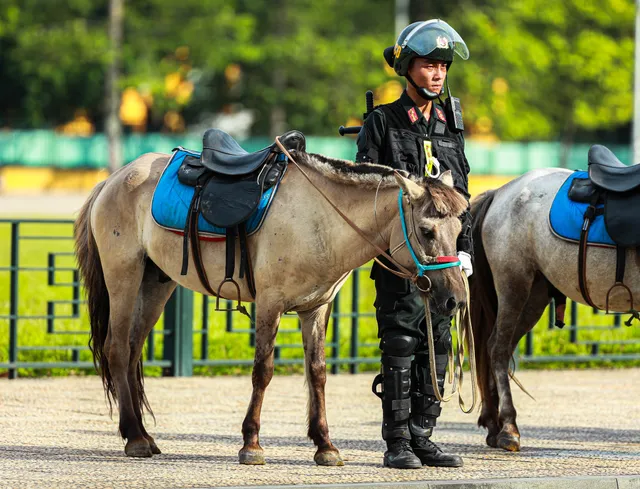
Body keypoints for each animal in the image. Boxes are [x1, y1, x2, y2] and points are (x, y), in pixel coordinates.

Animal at [75, 150, 468, 466]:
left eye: (459, 227)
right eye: (427, 231)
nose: (456, 299)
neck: (320, 219)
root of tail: (113, 179)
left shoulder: (316, 309)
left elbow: (317, 372)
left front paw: (325, 445)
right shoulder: (270, 304)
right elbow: (262, 371)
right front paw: (251, 443)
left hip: (156, 284)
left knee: (132, 349)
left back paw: (142, 433)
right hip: (124, 277)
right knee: (116, 349)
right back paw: (135, 437)